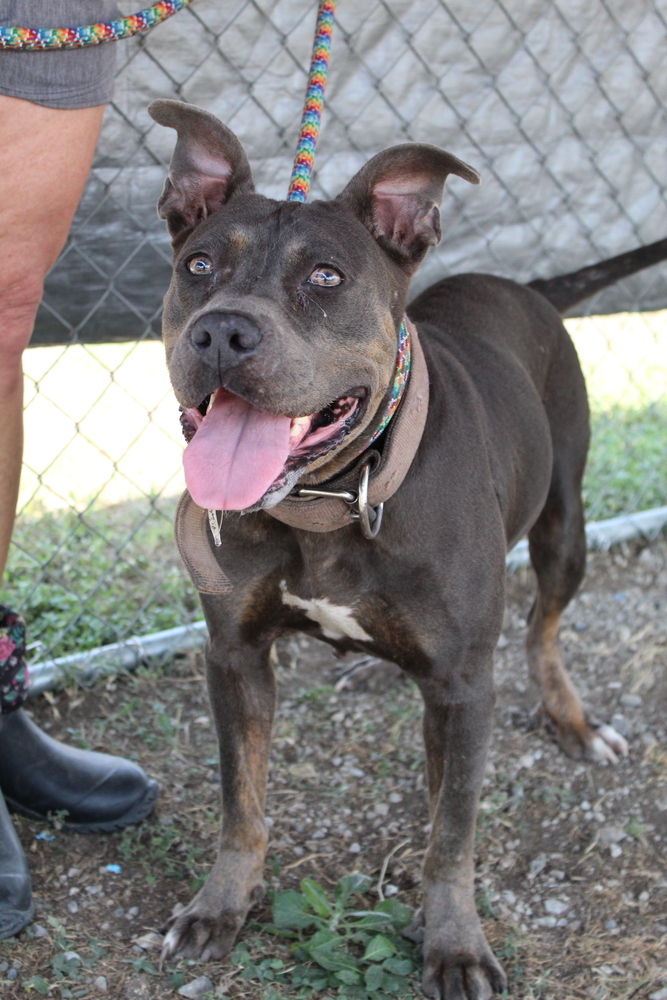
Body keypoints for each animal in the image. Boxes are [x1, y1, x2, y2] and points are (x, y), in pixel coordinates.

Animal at [147, 97, 667, 996]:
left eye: (326, 278)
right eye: (199, 264)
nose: (220, 334)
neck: (329, 500)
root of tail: (526, 285)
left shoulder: (462, 689)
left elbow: (449, 836)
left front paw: (453, 942)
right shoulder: (234, 657)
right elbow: (240, 800)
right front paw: (220, 904)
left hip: (564, 525)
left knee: (541, 630)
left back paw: (570, 720)